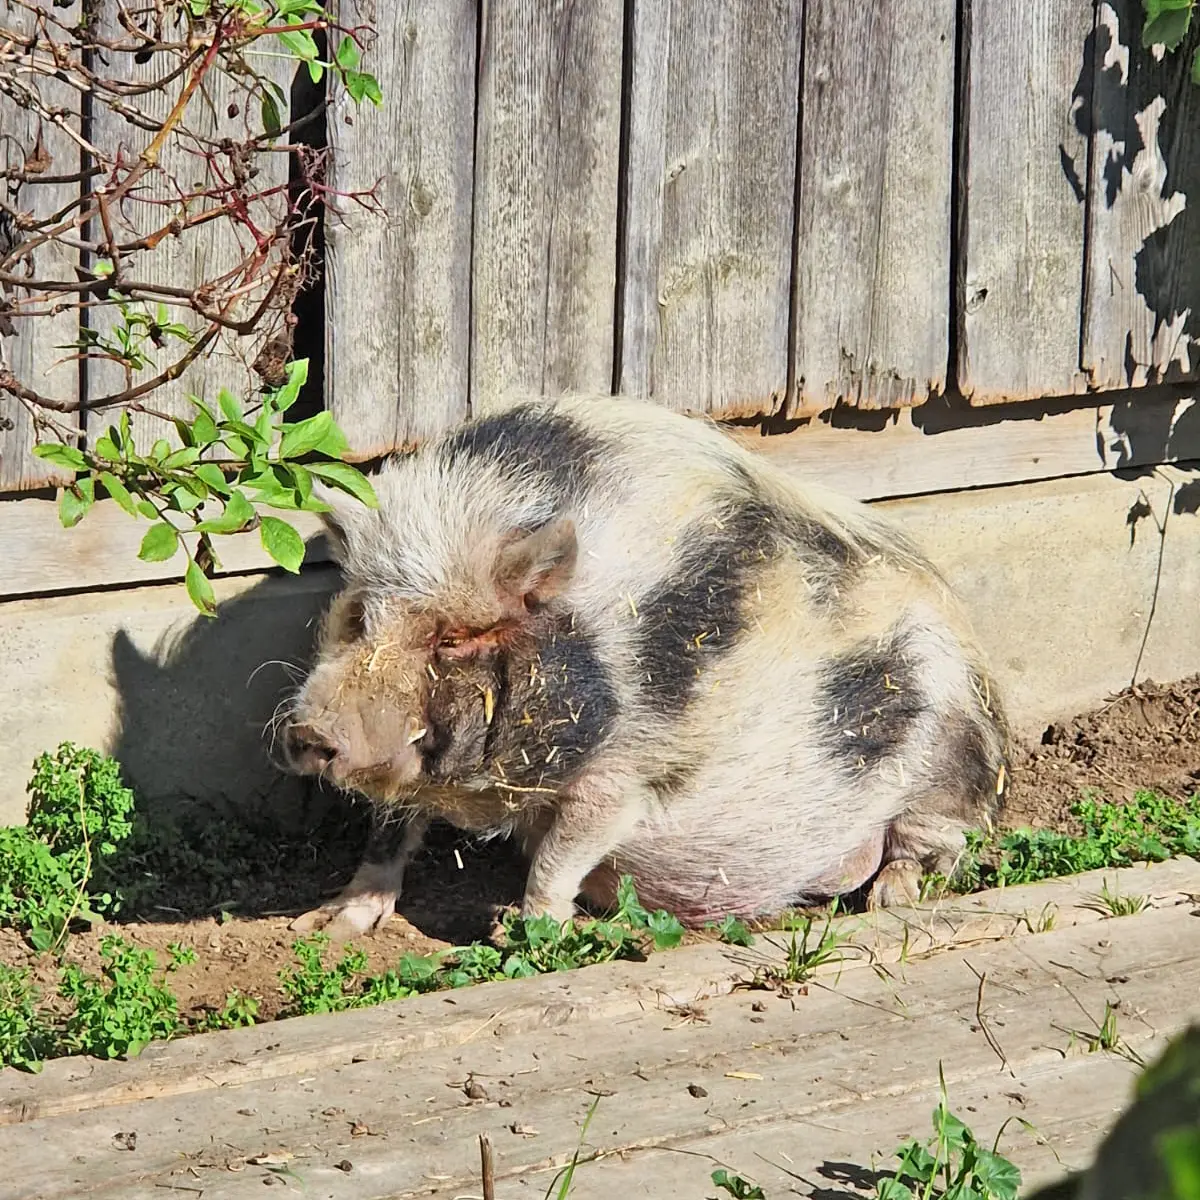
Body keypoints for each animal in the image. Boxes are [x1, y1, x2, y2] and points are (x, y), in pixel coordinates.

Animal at [279, 394, 1009, 939]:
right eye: (360, 615)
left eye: (455, 638)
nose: (310, 730)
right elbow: (388, 830)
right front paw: (329, 925)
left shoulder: (623, 777)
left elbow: (559, 857)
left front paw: (525, 931)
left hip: (948, 770)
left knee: (936, 844)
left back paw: (890, 900)